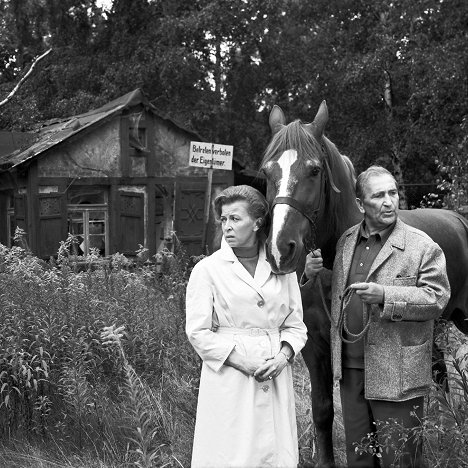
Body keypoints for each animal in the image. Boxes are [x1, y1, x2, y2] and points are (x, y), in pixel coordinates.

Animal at [260, 103, 468, 468]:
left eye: (314, 170)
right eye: (267, 172)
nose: (279, 249)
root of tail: (459, 219)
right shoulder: (315, 344)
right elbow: (323, 411)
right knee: (439, 376)